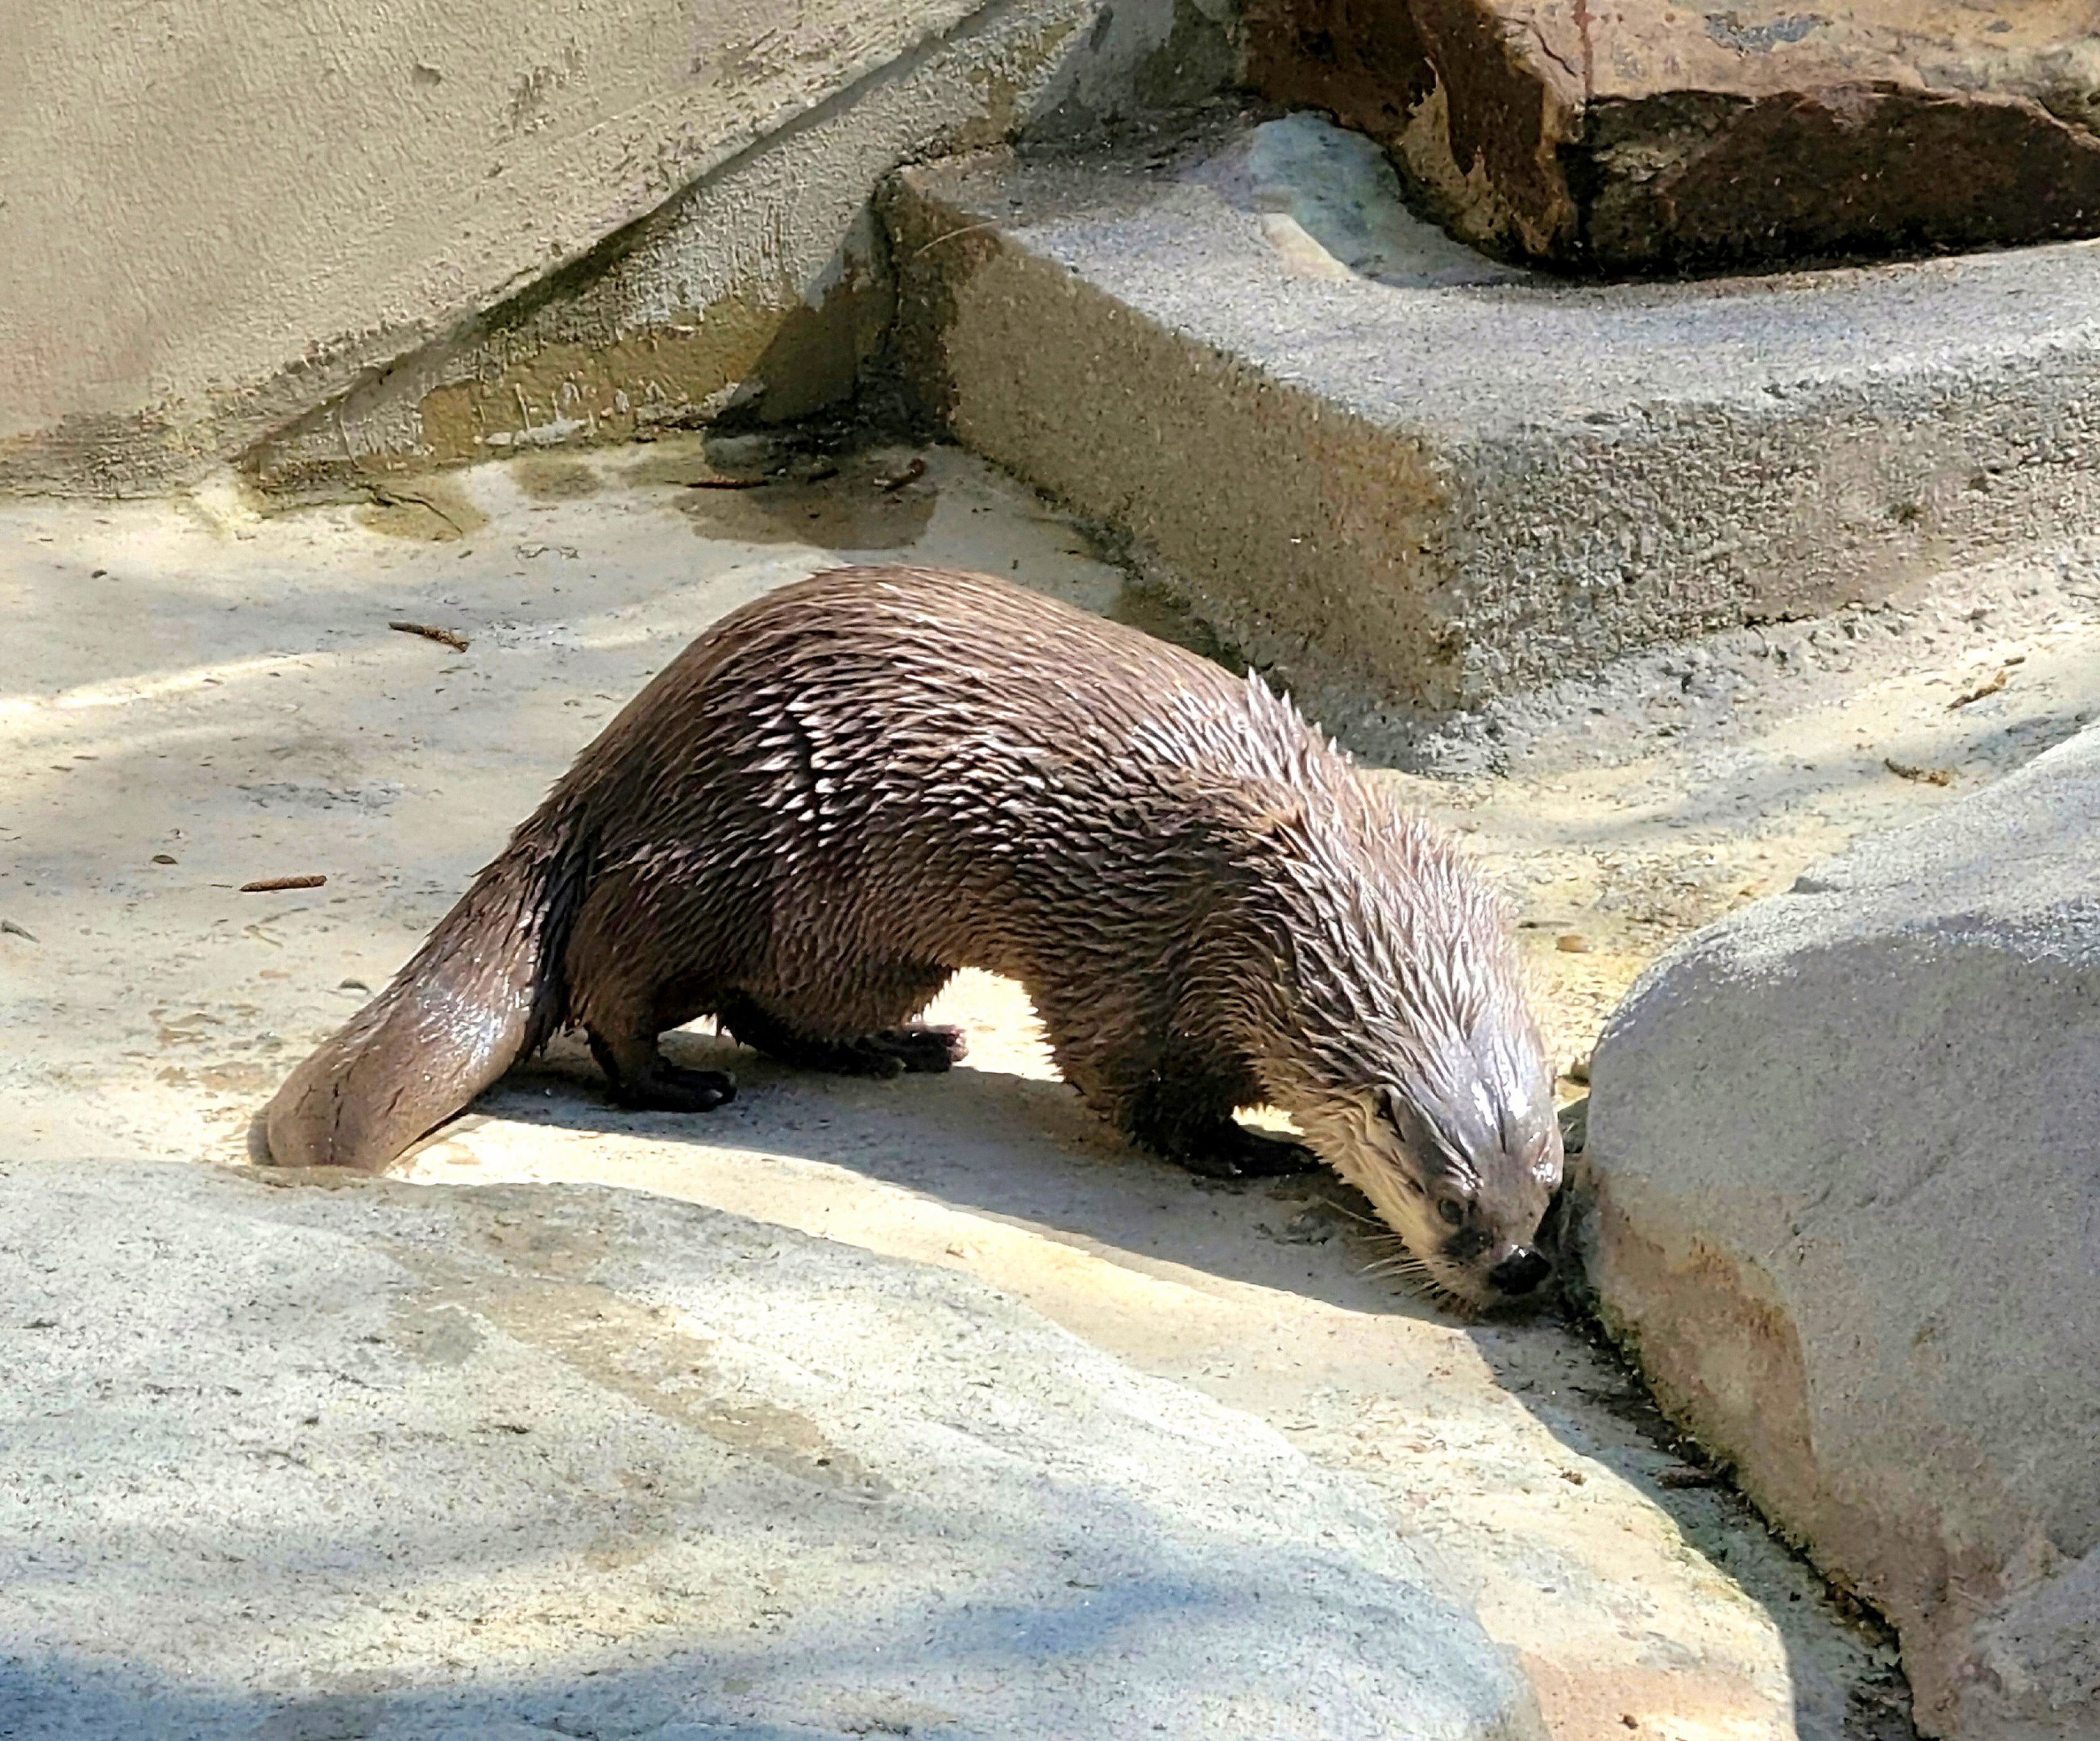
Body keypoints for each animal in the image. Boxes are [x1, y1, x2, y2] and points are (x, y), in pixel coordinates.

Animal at [263, 565, 1562, 1306]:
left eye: (1544, 1191)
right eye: (1450, 1200)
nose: (1516, 1270)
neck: (1286, 883)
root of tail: (624, 747)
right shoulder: (1137, 959)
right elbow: (1129, 1088)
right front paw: (1246, 1149)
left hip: (858, 941)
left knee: (771, 1009)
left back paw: (900, 1051)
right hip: (719, 854)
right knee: (613, 989)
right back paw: (677, 1088)